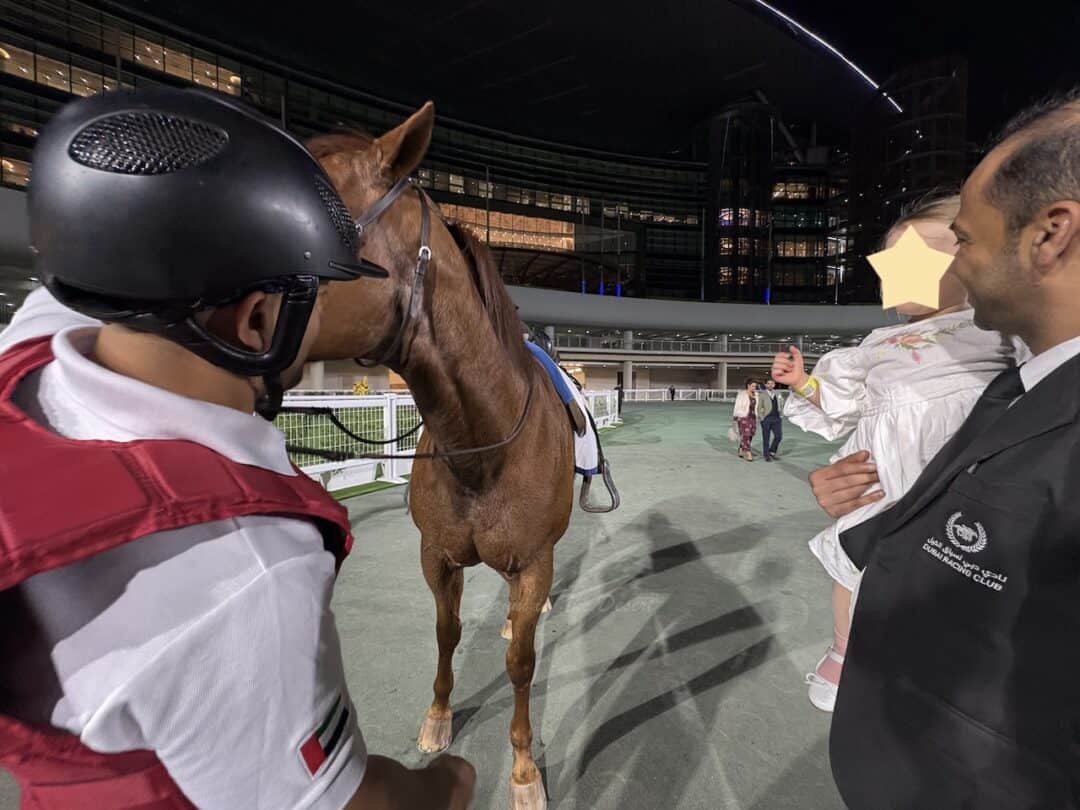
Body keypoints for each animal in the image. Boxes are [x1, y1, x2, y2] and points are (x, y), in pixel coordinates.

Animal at [306, 103, 574, 810]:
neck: (479, 446)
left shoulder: (534, 559)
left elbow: (521, 664)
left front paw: (524, 770)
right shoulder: (438, 556)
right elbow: (447, 633)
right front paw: (437, 719)